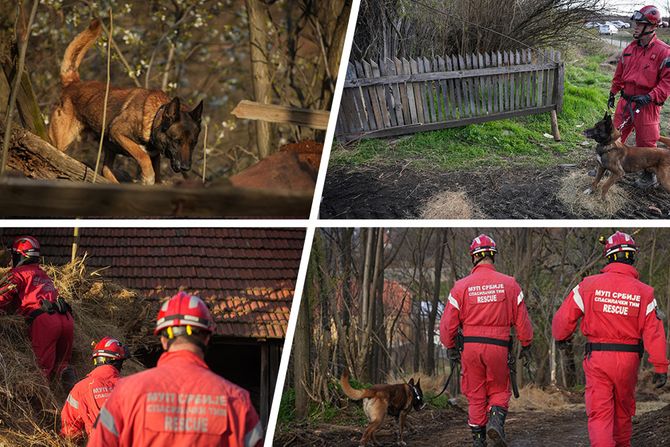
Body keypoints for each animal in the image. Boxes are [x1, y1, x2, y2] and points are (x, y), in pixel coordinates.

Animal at [49, 20, 203, 185]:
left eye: (194, 143)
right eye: (177, 141)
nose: (186, 168)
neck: (154, 118)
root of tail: (73, 83)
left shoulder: (154, 156)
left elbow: (156, 173)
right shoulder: (118, 133)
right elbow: (143, 156)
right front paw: (147, 177)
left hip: (108, 149)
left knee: (105, 170)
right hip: (62, 142)